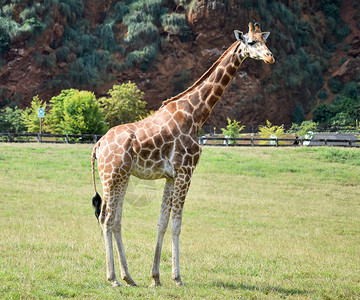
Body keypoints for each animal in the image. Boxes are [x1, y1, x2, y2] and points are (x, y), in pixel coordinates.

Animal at [90, 22, 276, 288]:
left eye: (265, 39)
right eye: (251, 42)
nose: (270, 57)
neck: (196, 114)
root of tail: (98, 145)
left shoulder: (170, 175)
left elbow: (161, 223)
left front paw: (155, 277)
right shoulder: (185, 171)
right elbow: (177, 224)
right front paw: (177, 277)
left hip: (121, 177)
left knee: (116, 220)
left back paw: (129, 277)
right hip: (111, 175)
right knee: (106, 218)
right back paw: (113, 278)